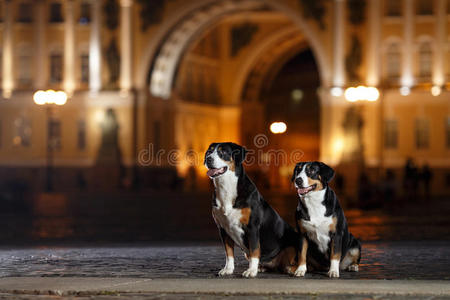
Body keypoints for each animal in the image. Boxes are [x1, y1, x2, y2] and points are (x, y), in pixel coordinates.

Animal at [205, 142, 302, 278]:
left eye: (222, 152)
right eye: (209, 152)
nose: (208, 159)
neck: (226, 187)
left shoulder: (252, 226)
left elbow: (255, 250)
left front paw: (251, 271)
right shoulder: (223, 229)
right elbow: (229, 253)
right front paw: (228, 269)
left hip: (293, 243)